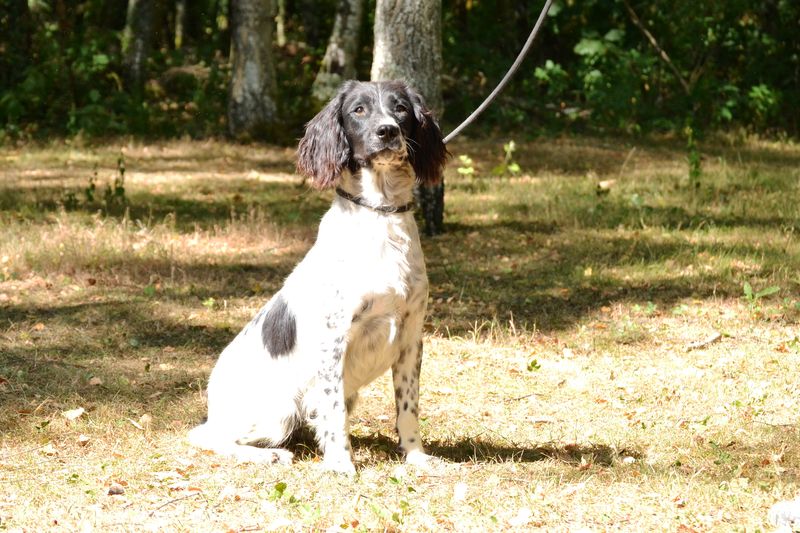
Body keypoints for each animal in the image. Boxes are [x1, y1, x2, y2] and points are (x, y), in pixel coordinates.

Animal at [188, 79, 450, 470]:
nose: (387, 131)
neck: (380, 216)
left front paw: (416, 456)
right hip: (277, 412)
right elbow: (333, 409)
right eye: (358, 110)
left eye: (401, 108)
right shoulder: (333, 339)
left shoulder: (411, 336)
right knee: (209, 436)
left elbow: (408, 406)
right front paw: (342, 465)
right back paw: (269, 455)